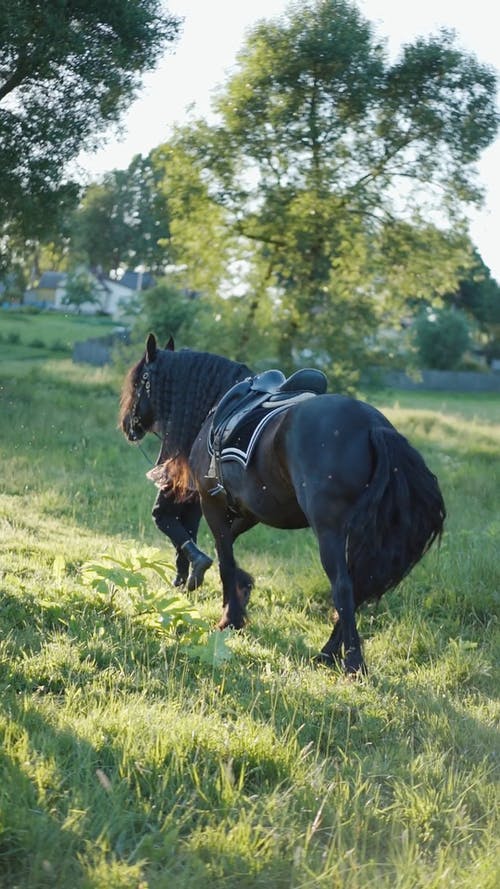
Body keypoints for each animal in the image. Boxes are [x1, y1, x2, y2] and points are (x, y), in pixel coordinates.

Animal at [121, 334, 446, 672]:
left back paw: (351, 662)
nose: (128, 425)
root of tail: (373, 426)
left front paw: (230, 618)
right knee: (357, 585)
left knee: (343, 586)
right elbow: (227, 550)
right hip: (361, 534)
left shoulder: (212, 504)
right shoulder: (249, 509)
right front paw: (241, 591)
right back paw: (328, 652)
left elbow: (225, 559)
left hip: (330, 530)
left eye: (140, 381)